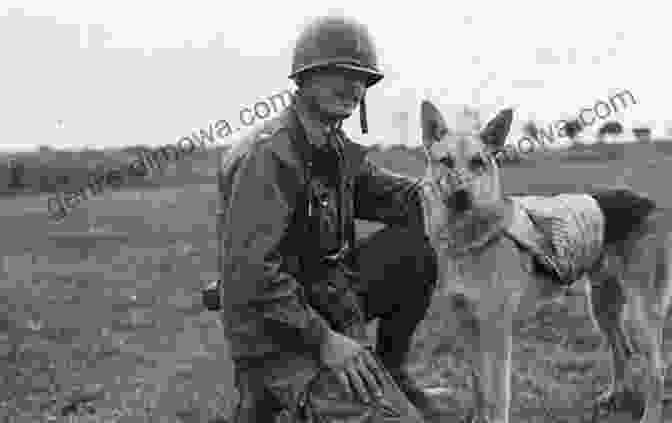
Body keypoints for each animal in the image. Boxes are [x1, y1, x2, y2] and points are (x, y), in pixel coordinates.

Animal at [418, 100, 668, 423]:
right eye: (445, 161)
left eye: (477, 163)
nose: (461, 195)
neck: (471, 240)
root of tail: (650, 202)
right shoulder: (467, 328)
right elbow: (479, 390)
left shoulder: (497, 333)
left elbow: (497, 397)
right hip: (602, 305)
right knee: (623, 350)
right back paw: (613, 398)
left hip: (640, 315)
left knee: (657, 370)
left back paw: (650, 414)